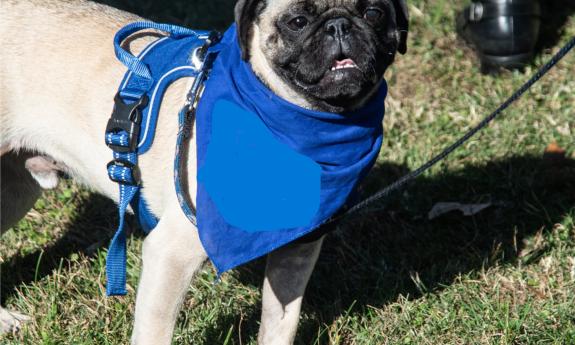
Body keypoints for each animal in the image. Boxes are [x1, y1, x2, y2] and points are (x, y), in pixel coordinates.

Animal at [0, 0, 408, 342]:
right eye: (297, 22)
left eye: (374, 13)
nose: (340, 25)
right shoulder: (170, 255)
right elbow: (155, 334)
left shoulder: (296, 254)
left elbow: (280, 325)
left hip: (16, 192)